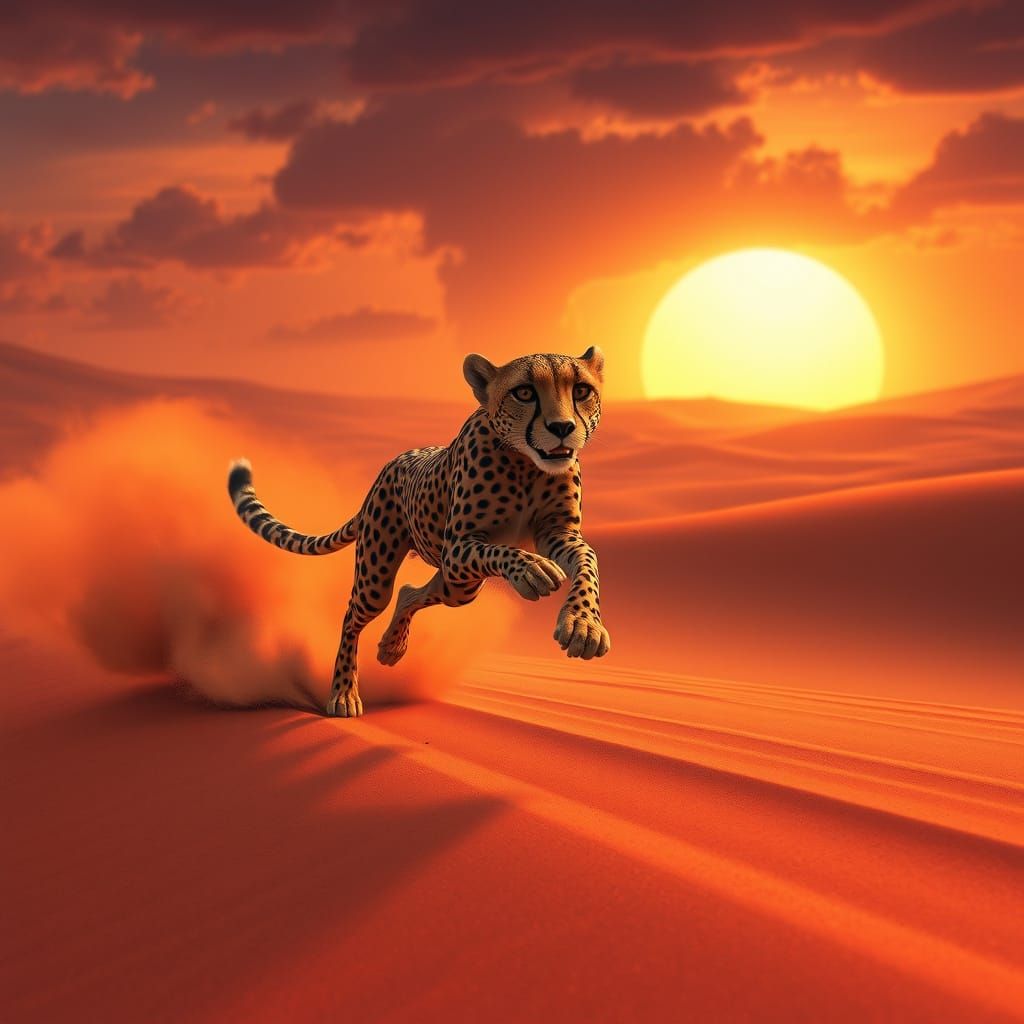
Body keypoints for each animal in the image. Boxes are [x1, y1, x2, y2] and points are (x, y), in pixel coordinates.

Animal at [227, 347, 610, 717]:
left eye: (581, 390)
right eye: (525, 392)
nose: (561, 427)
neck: (526, 464)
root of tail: (389, 466)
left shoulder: (558, 533)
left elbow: (588, 562)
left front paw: (583, 625)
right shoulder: (456, 548)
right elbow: (502, 550)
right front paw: (532, 569)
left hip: (461, 589)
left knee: (411, 592)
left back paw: (392, 646)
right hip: (380, 577)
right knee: (352, 616)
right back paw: (343, 694)